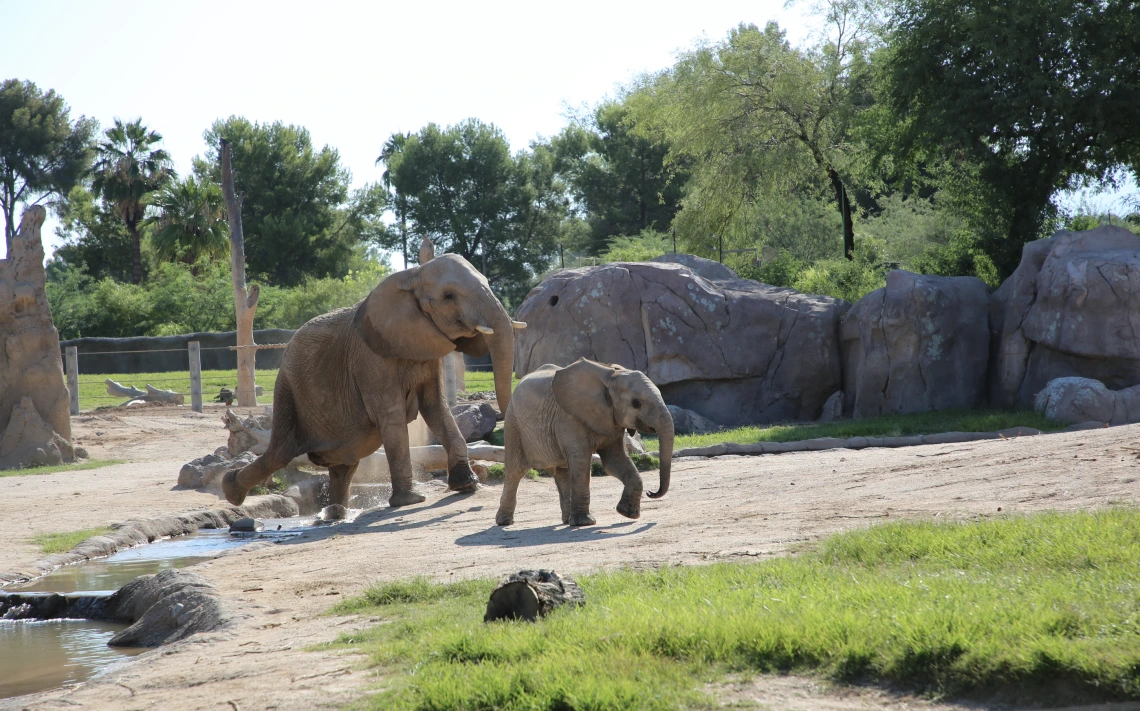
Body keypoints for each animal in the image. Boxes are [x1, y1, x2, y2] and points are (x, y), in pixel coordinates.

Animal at [221, 252, 522, 519]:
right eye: (448, 296)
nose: (477, 510)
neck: (410, 276)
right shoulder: (371, 360)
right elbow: (392, 417)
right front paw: (411, 501)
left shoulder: (427, 349)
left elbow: (436, 408)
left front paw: (467, 485)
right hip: (288, 388)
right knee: (280, 453)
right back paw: (231, 489)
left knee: (343, 464)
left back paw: (335, 514)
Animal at [494, 357, 670, 524]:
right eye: (636, 403)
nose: (651, 492)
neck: (610, 376)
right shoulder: (569, 418)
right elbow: (582, 460)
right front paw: (585, 523)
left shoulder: (611, 419)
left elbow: (614, 461)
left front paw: (627, 514)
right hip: (513, 423)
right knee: (515, 470)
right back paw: (504, 522)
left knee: (562, 472)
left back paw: (567, 520)